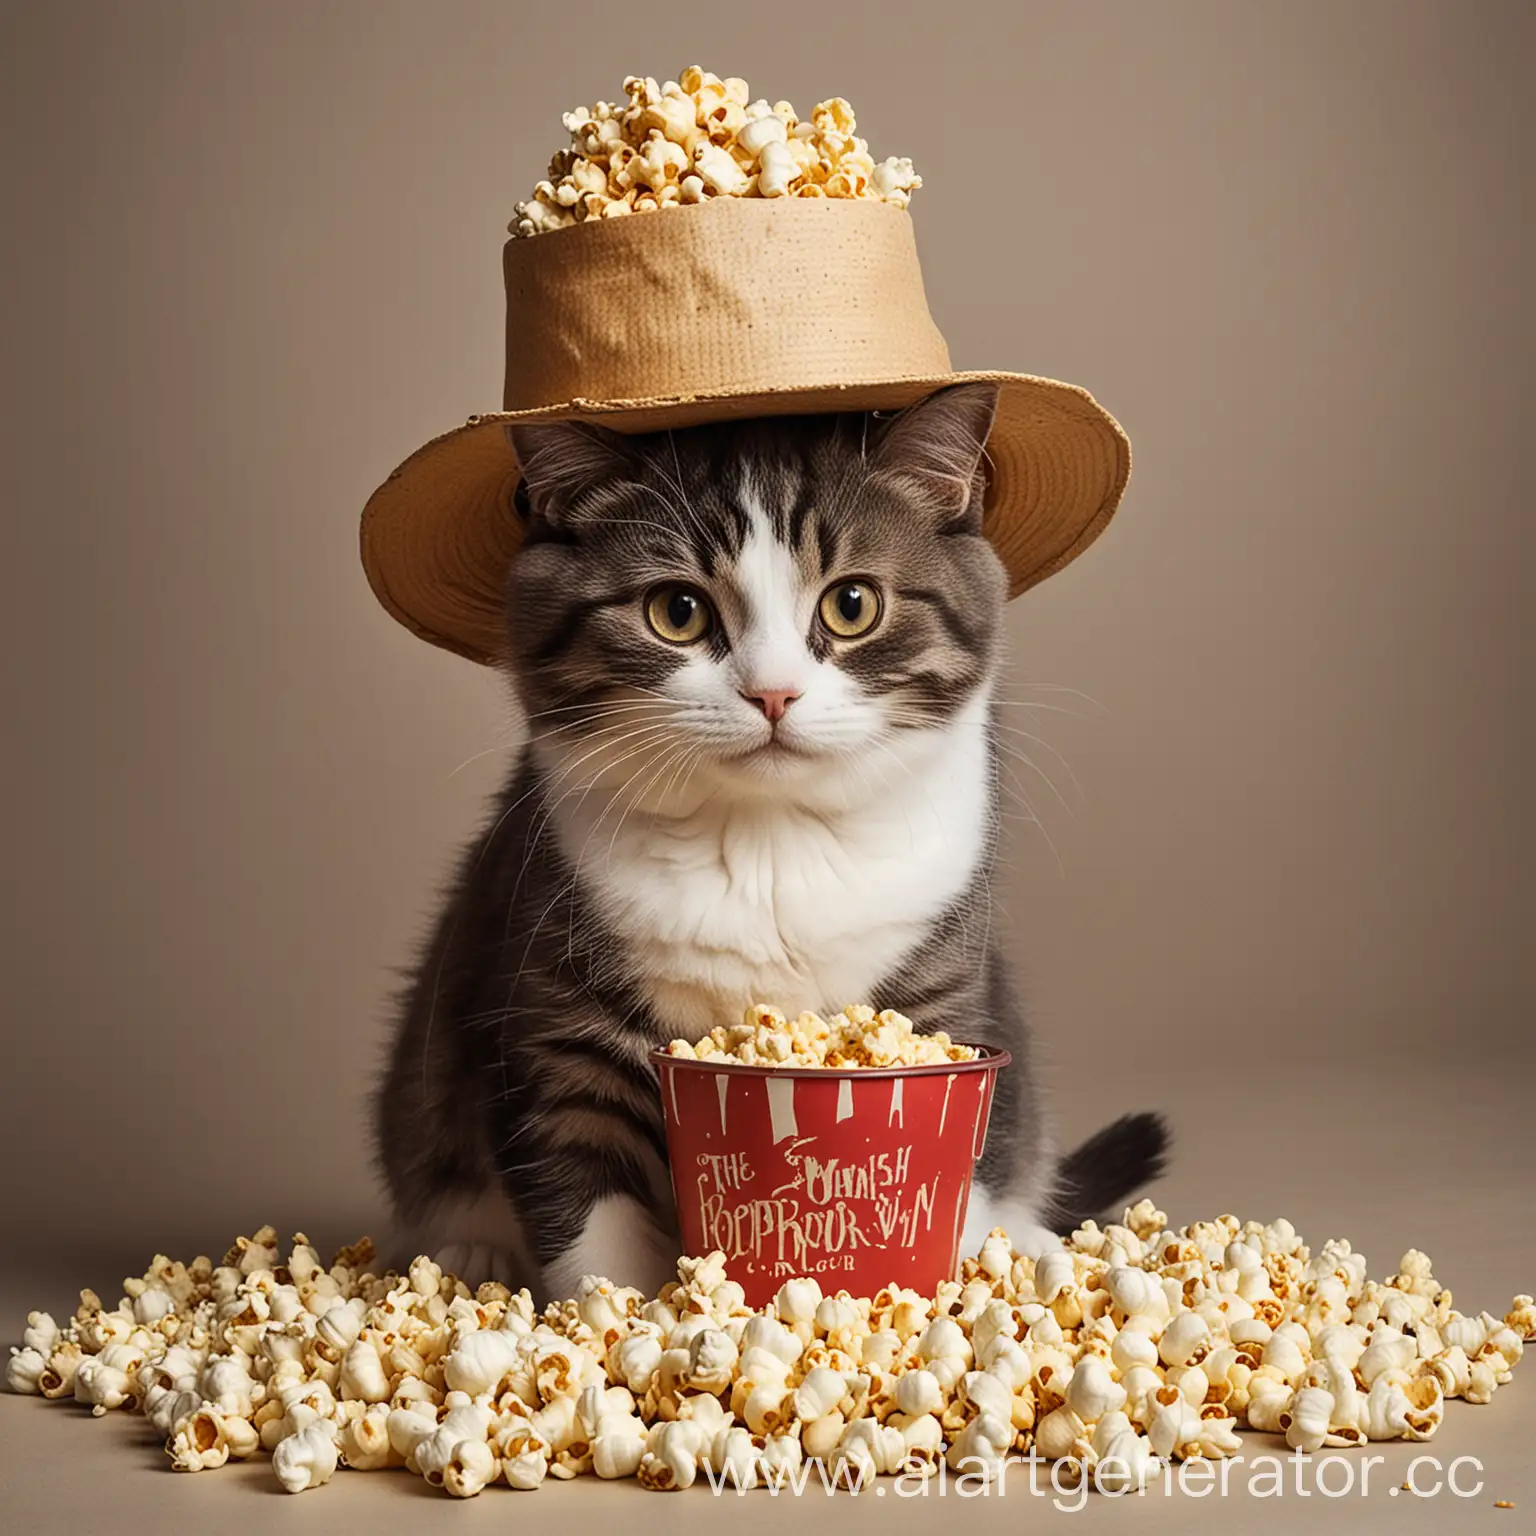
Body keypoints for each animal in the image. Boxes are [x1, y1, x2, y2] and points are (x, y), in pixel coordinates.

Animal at [374, 384, 1161, 1296]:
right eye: (677, 612)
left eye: (852, 604)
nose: (773, 693)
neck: (769, 842)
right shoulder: (548, 990)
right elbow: (581, 1187)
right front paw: (618, 1312)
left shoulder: (946, 975)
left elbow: (963, 1144)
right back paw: (468, 1253)